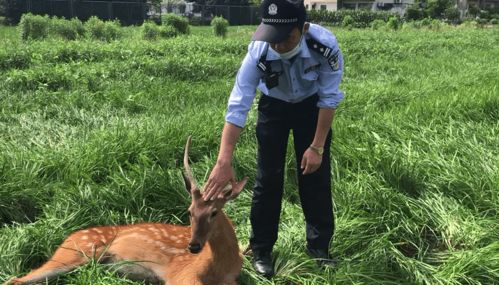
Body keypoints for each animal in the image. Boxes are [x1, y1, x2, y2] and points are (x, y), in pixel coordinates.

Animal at [1, 136, 248, 284]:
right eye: (189, 211)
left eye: (214, 212)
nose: (194, 246)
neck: (220, 268)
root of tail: (71, 234)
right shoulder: (181, 273)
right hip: (76, 251)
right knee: (16, 280)